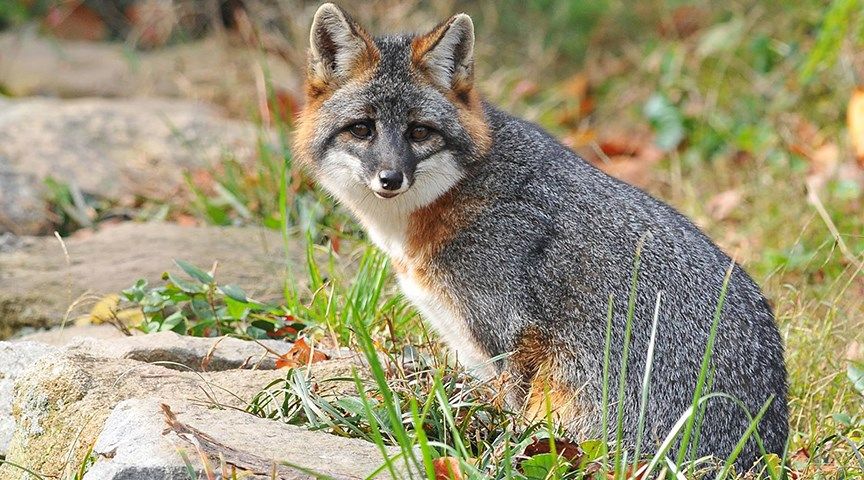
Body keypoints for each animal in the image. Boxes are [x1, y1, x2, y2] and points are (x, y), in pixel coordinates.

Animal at [295, 3, 788, 471]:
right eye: (362, 128)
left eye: (419, 132)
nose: (390, 178)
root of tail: (763, 450)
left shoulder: (510, 338)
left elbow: (511, 423)